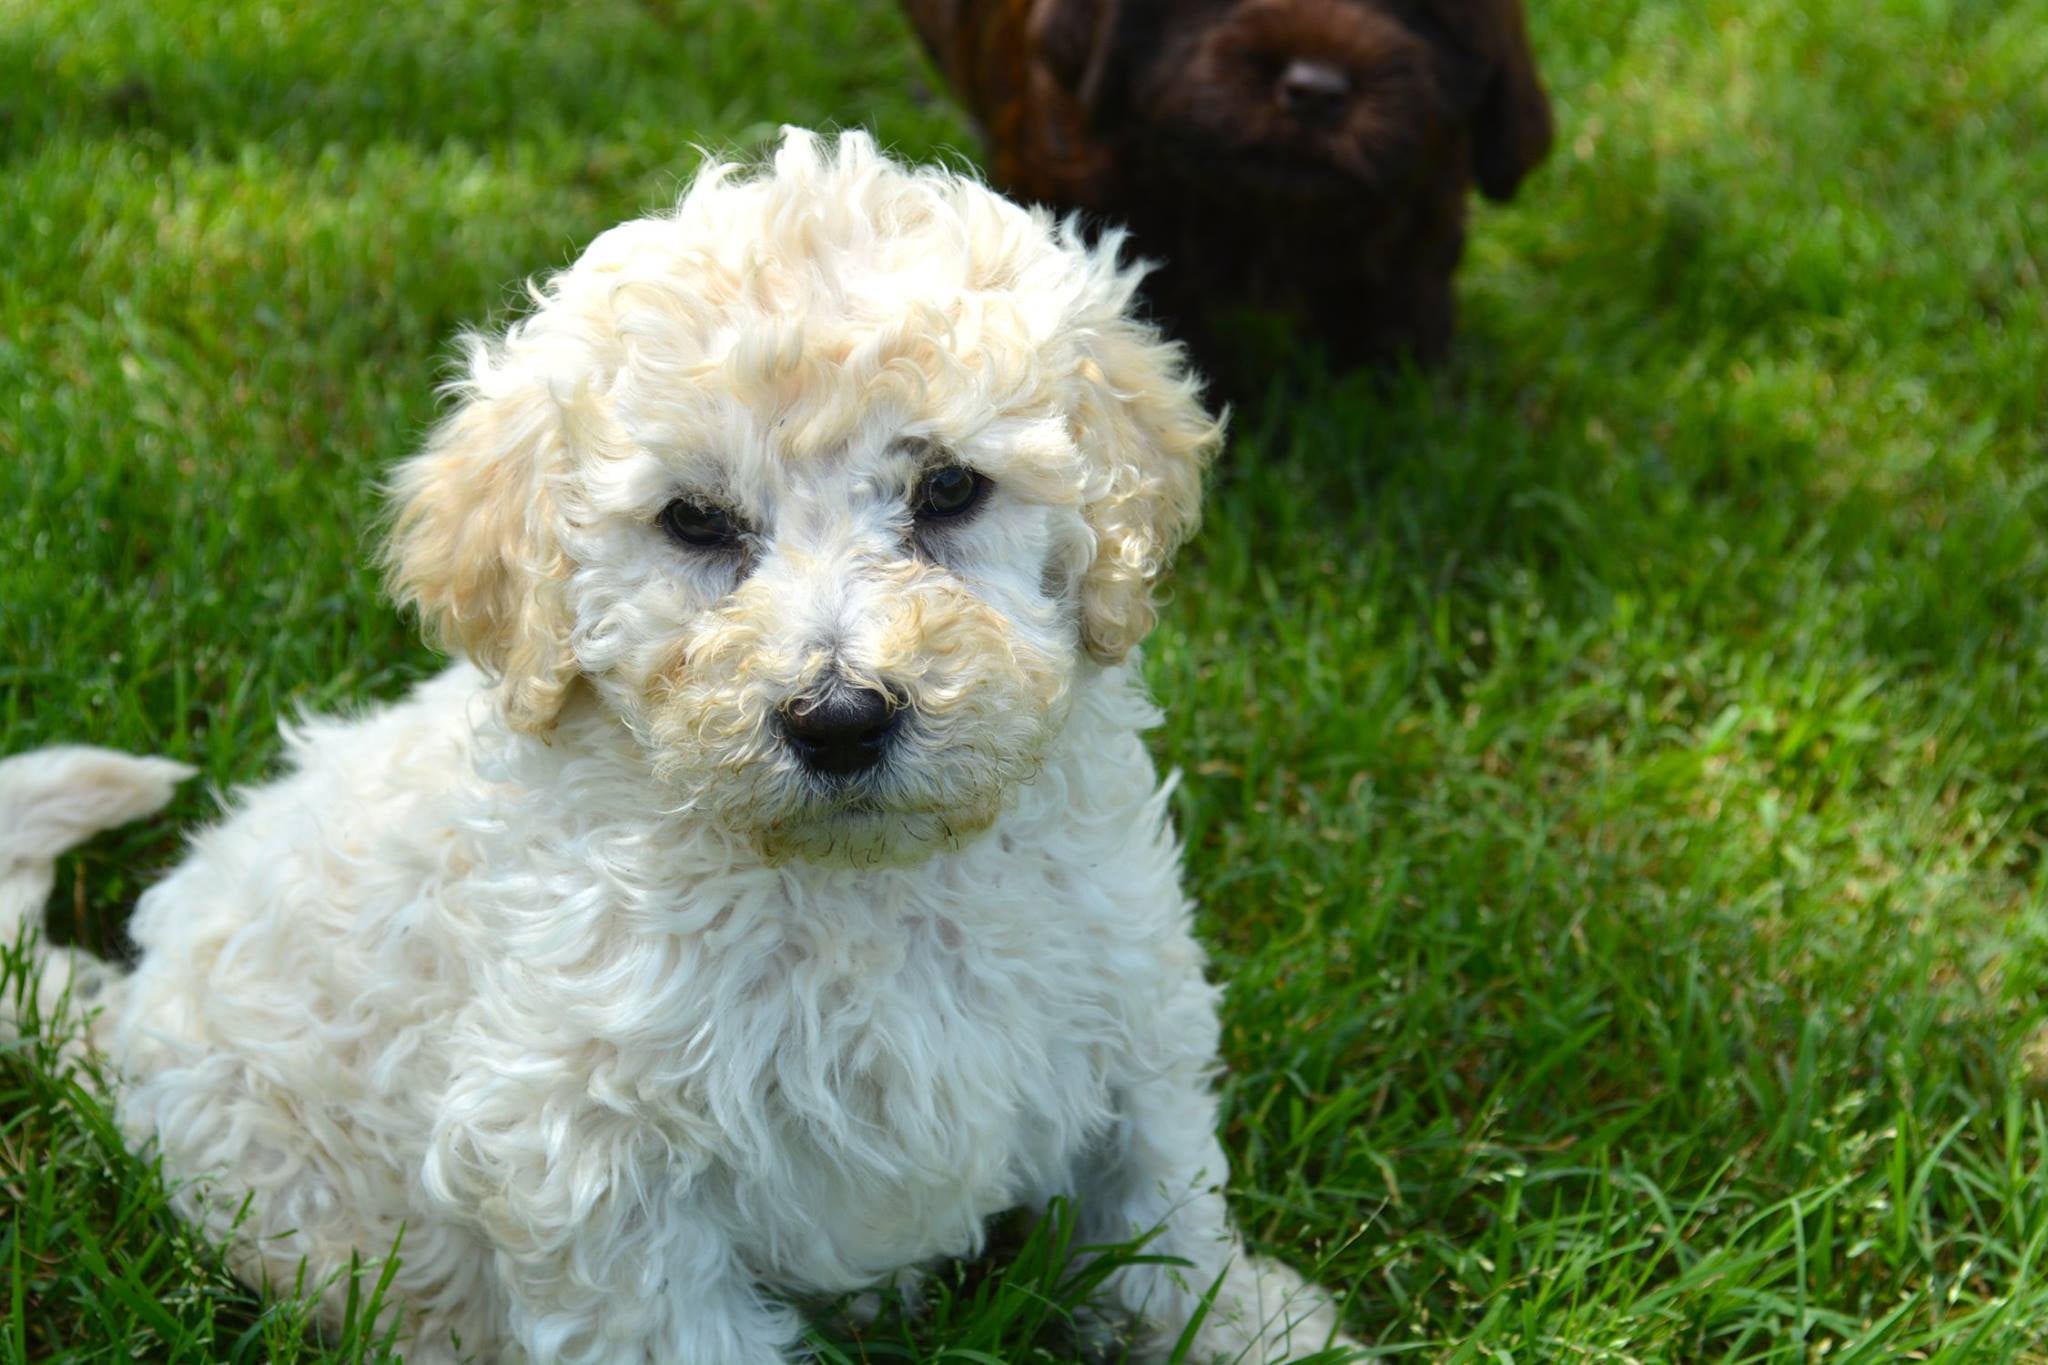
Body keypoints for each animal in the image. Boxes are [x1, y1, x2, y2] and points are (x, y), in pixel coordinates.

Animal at [4, 130, 1359, 1365]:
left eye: (948, 492)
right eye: (695, 522)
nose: (839, 720)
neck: (863, 886)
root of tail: (121, 1020)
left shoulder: (1124, 1003)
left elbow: (1156, 1212)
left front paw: (1250, 1327)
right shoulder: (592, 1163)